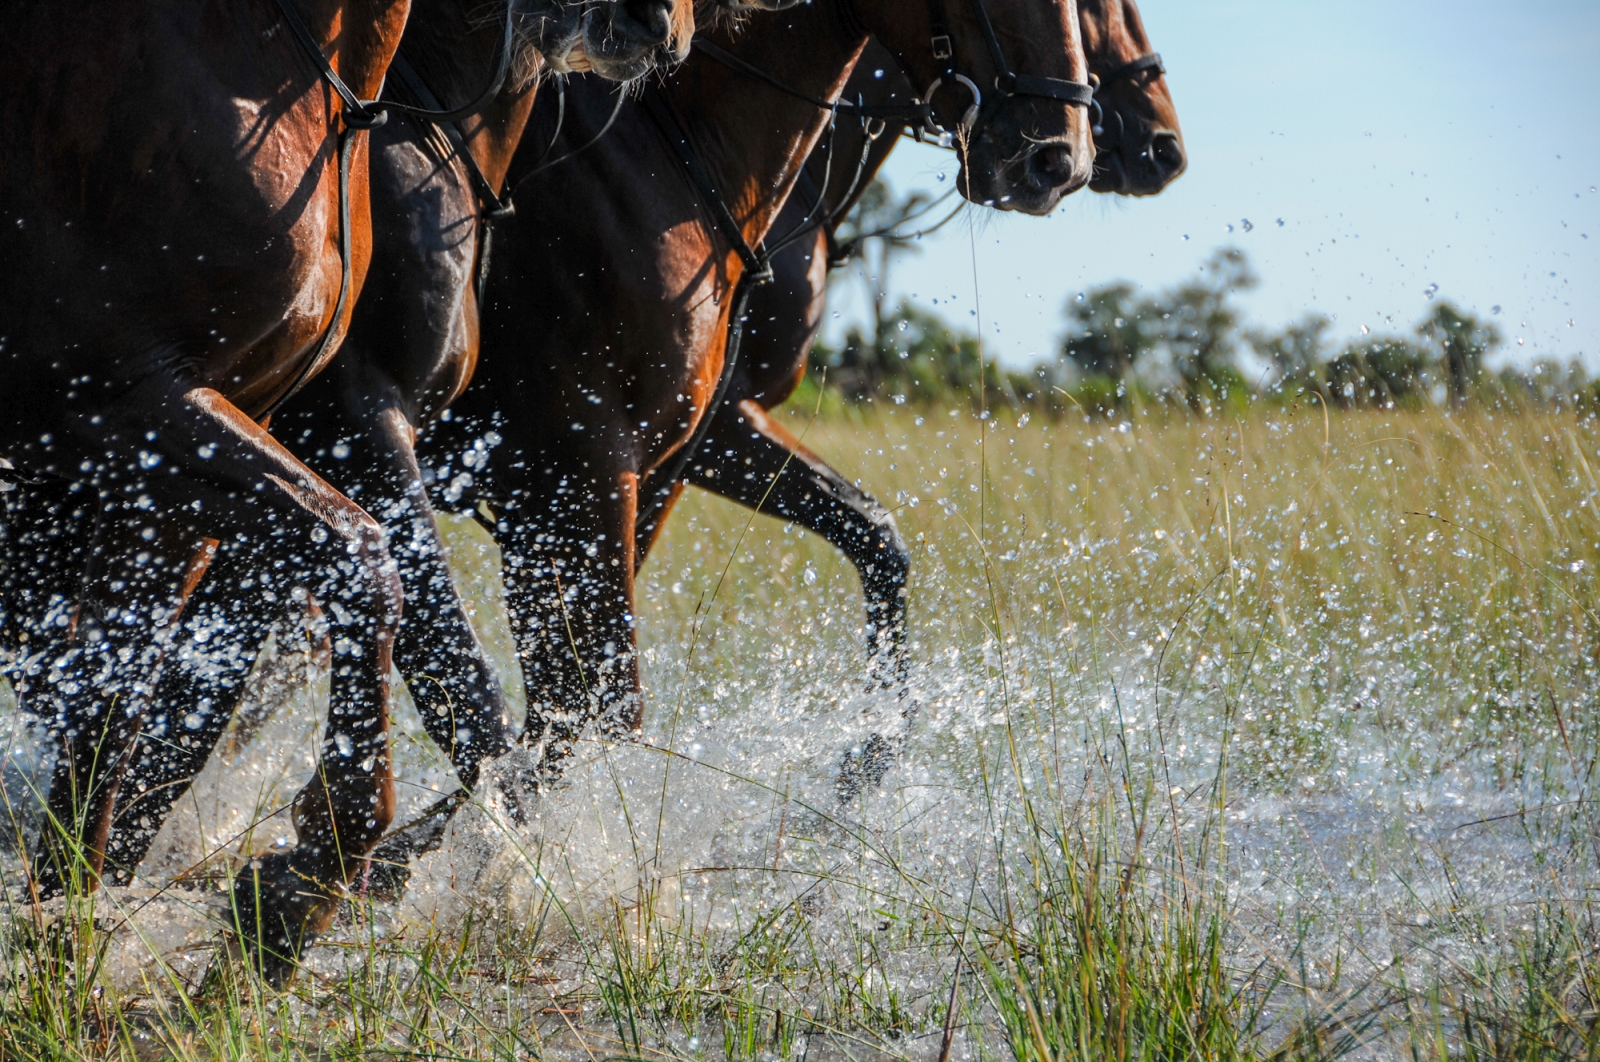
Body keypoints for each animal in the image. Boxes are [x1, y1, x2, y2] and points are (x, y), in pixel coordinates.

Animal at [425, 0, 1094, 796]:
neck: (673, 148)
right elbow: (579, 706)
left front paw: (869, 755)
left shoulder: (650, 462)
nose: (1060, 161)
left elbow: (874, 532)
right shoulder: (582, 467)